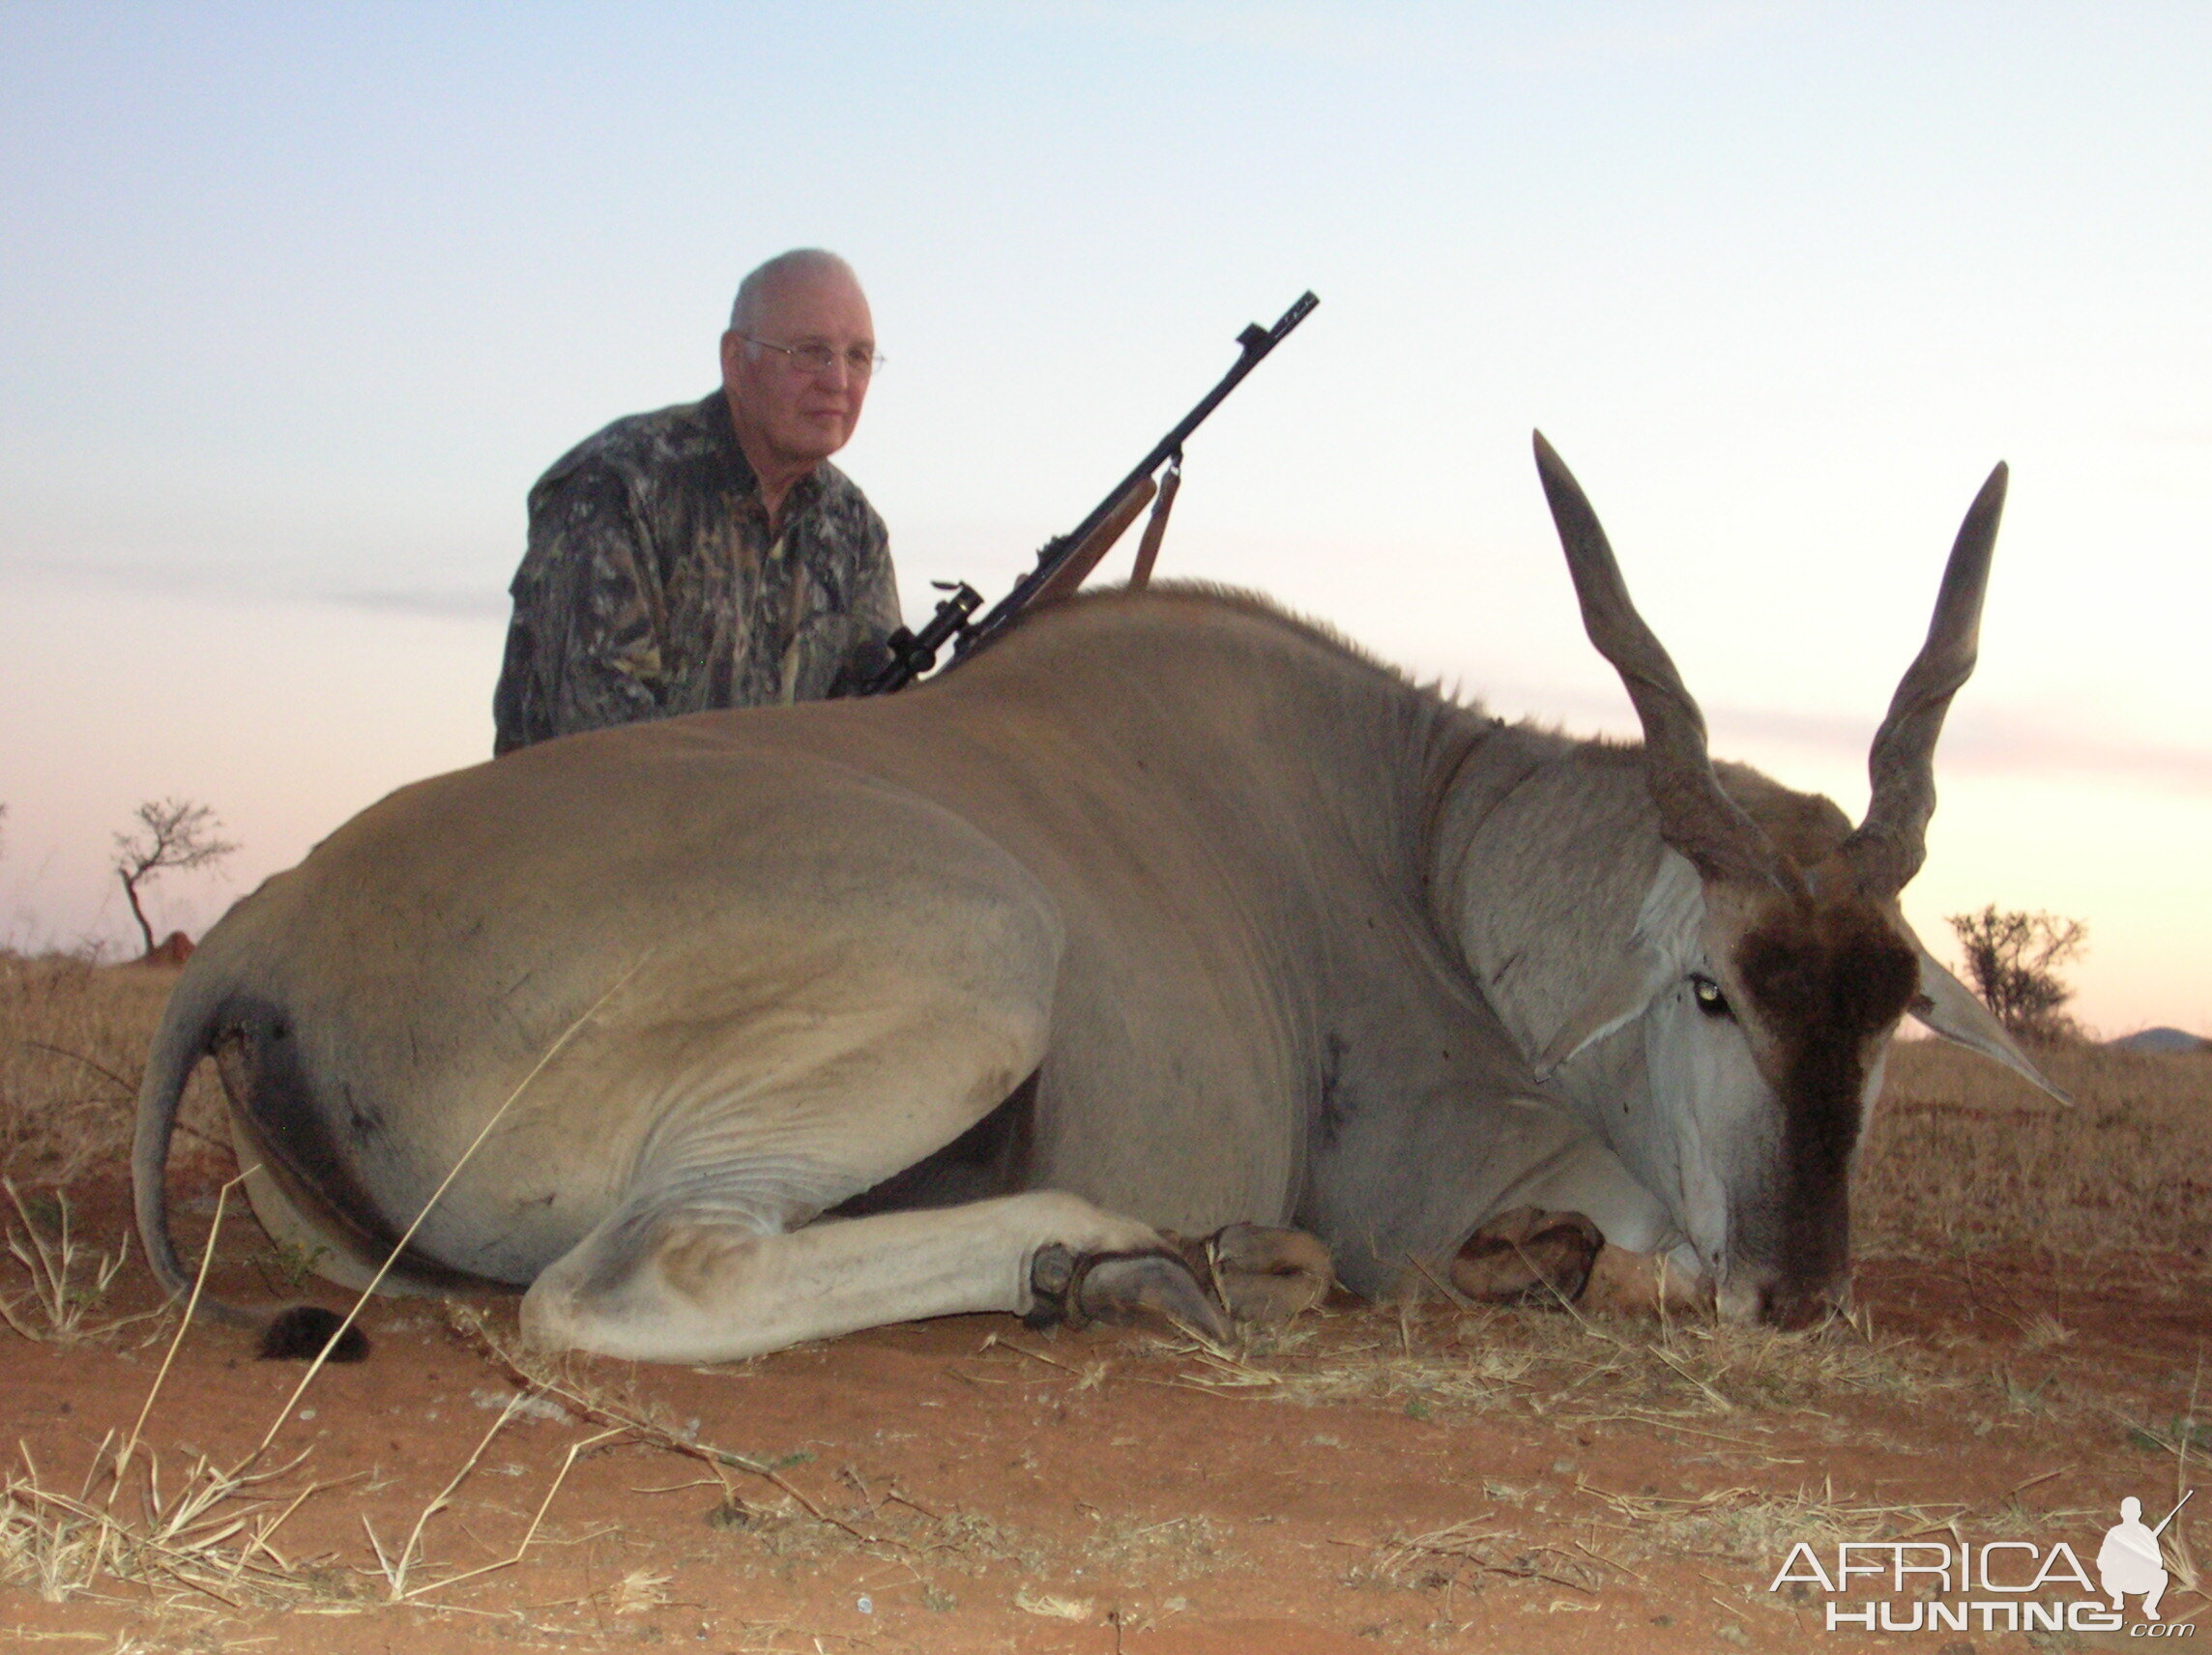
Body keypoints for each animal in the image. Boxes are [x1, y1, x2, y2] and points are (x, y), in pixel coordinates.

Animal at [129, 435, 2061, 1353]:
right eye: (1711, 989)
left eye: (1889, 1017)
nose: (1800, 1293)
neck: (1431, 837)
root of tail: (271, 922)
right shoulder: (1454, 1181)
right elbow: (1621, 1251)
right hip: (986, 957)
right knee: (641, 1279)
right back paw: (1136, 1258)